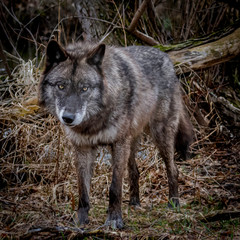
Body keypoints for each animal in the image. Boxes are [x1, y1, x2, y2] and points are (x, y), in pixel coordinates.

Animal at [39, 39, 193, 229]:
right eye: (61, 86)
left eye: (84, 88)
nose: (68, 118)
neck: (94, 121)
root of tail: (165, 56)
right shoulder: (83, 147)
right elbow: (82, 189)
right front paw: (81, 221)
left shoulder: (118, 143)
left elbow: (115, 187)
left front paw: (114, 219)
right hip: (132, 142)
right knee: (135, 171)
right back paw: (134, 203)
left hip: (160, 136)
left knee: (173, 169)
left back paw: (173, 203)